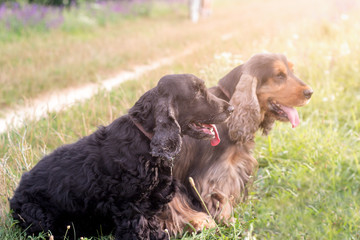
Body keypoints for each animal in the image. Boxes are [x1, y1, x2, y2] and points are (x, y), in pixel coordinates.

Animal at [10, 74, 233, 239]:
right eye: (197, 93)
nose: (231, 108)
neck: (144, 140)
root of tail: (14, 199)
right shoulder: (132, 207)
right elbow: (141, 232)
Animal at [159, 53, 314, 235]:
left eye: (292, 70)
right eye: (279, 75)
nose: (310, 92)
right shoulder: (218, 174)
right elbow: (221, 199)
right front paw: (229, 222)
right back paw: (199, 222)